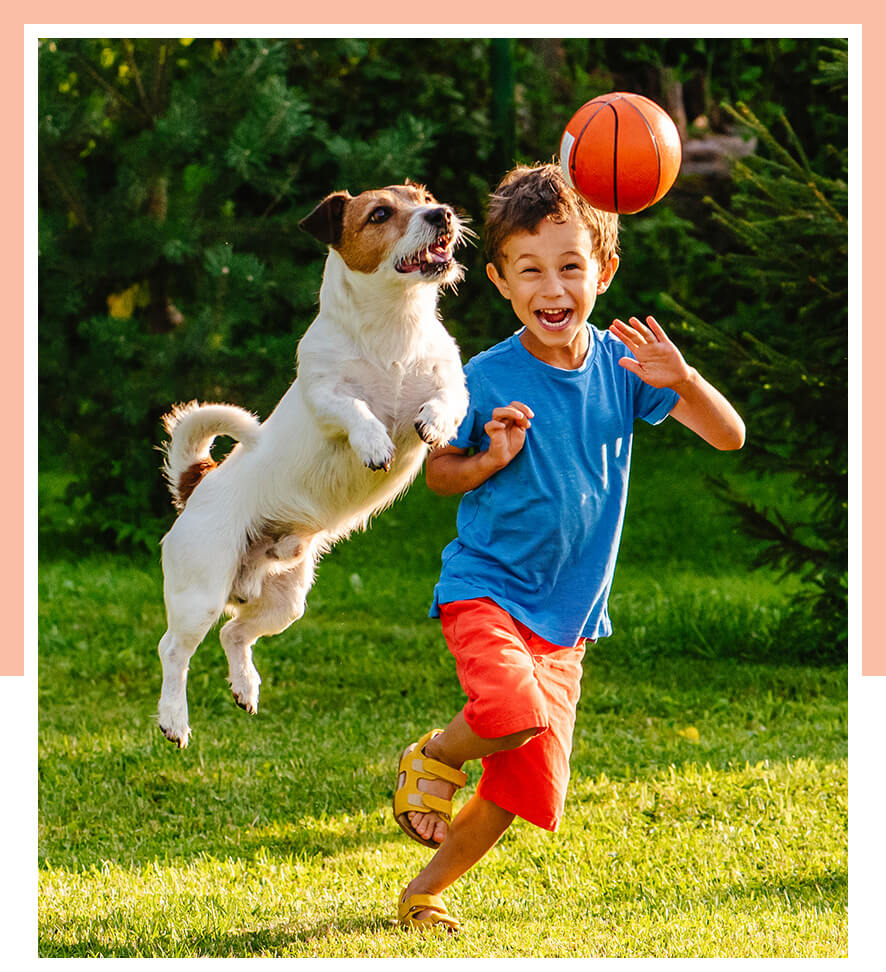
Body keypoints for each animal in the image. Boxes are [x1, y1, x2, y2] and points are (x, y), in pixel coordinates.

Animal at [157, 184, 472, 744]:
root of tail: (198, 484)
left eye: (424, 196)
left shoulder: (451, 384)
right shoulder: (325, 396)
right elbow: (354, 410)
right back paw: (174, 719)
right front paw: (373, 443)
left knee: (235, 633)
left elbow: (444, 401)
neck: (394, 327)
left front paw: (432, 424)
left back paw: (245, 687)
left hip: (285, 600)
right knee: (174, 650)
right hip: (201, 592)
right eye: (381, 214)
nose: (443, 214)